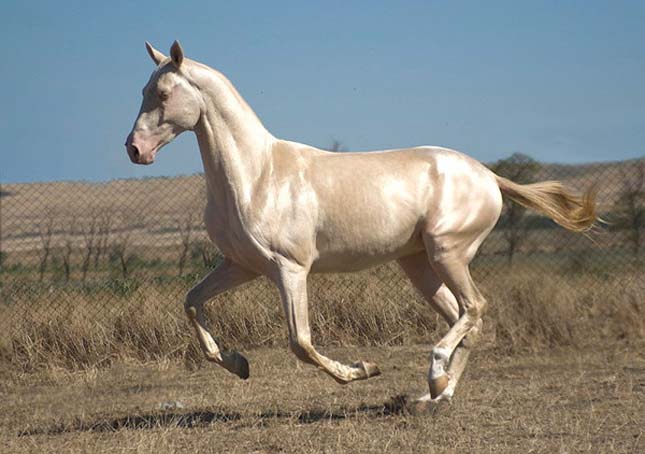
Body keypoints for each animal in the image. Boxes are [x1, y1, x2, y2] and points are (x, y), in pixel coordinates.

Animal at [126, 41, 600, 404]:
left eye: (164, 93)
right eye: (144, 89)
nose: (134, 149)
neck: (257, 175)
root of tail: (488, 176)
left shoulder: (289, 269)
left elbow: (301, 343)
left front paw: (363, 369)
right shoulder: (241, 266)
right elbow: (192, 302)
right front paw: (238, 364)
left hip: (448, 253)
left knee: (474, 309)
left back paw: (435, 377)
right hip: (420, 265)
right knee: (465, 320)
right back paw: (435, 397)